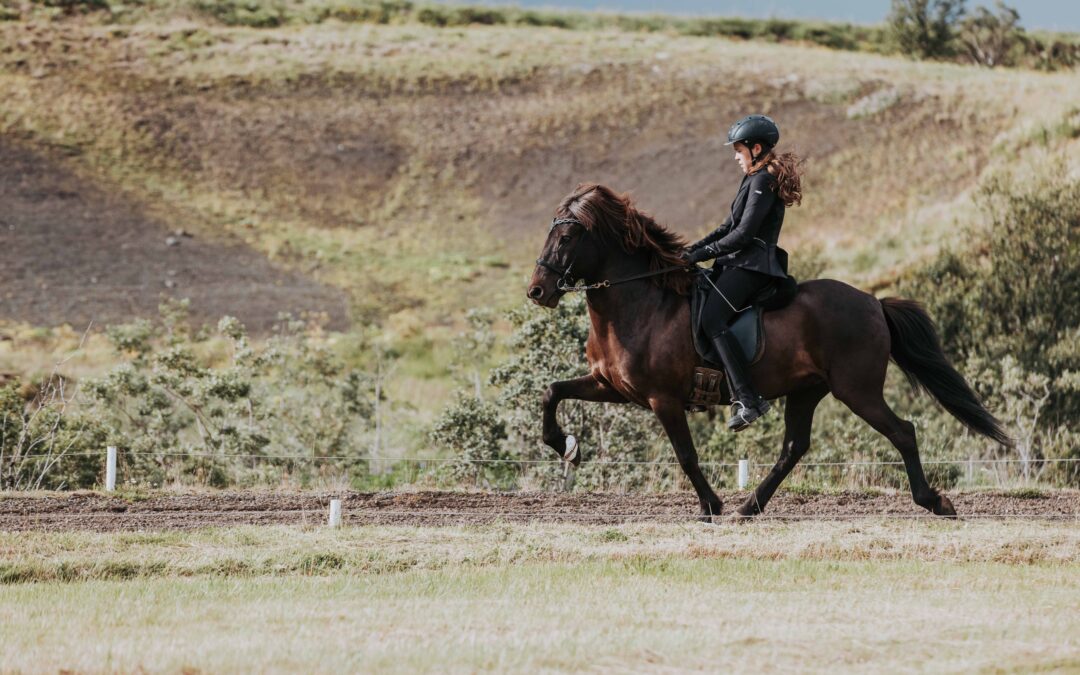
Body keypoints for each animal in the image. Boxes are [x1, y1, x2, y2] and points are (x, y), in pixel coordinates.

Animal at [527, 181, 1006, 518]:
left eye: (566, 239)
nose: (537, 291)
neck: (640, 302)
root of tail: (873, 302)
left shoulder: (663, 399)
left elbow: (686, 455)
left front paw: (710, 506)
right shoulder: (612, 385)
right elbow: (552, 391)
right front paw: (565, 445)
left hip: (857, 390)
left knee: (902, 431)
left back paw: (935, 502)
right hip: (808, 389)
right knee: (794, 447)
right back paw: (749, 508)